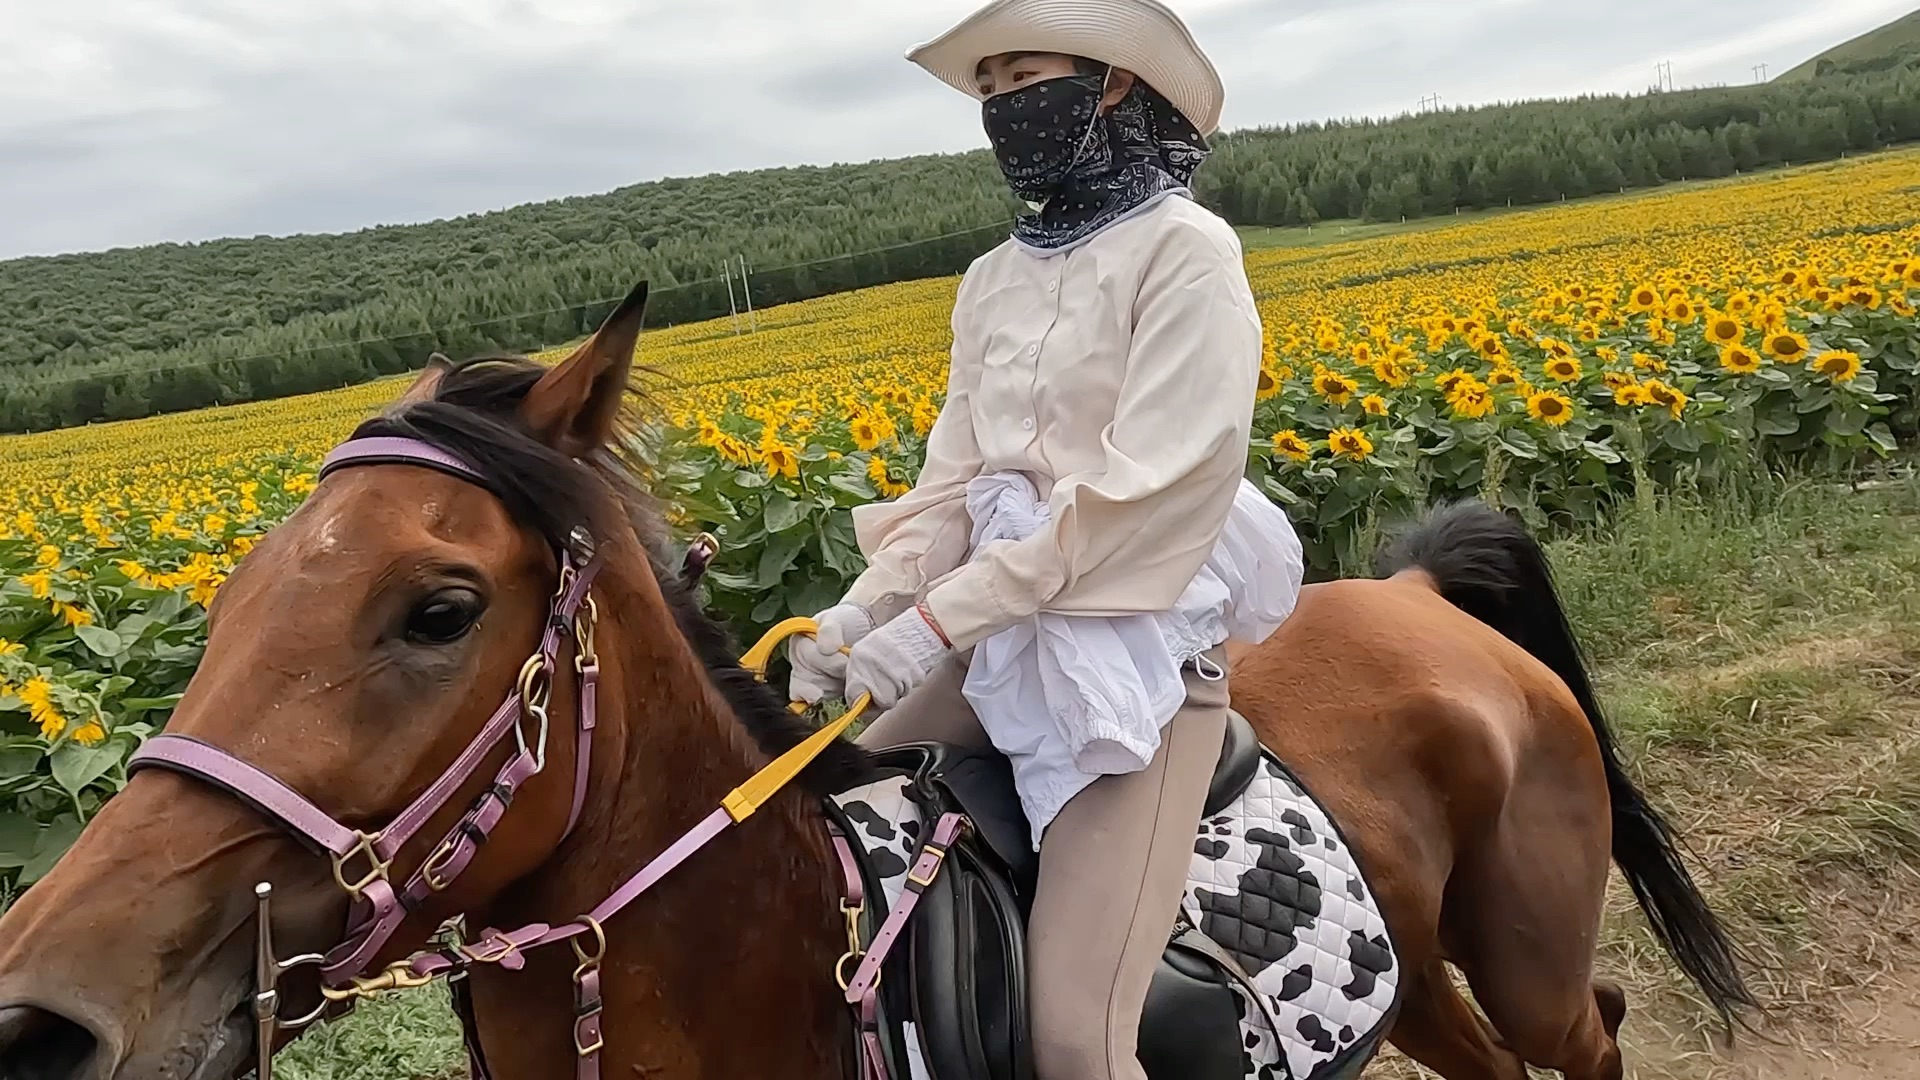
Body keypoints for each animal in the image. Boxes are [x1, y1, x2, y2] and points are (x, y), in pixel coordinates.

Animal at [0, 286, 1751, 1076]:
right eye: (222, 605)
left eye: (437, 609)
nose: (39, 1020)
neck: (778, 962)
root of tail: (1406, 592)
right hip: (1424, 976)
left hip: (1529, 952)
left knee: (1589, 1022)